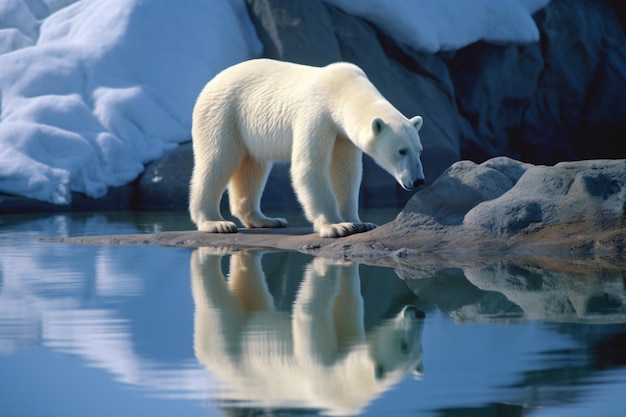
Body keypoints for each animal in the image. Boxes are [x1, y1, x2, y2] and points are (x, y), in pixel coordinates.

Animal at [190, 58, 424, 237]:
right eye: (402, 150)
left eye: (419, 150)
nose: (418, 181)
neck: (343, 89)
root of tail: (209, 83)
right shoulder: (317, 114)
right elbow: (310, 165)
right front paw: (338, 226)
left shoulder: (342, 134)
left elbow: (346, 172)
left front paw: (360, 222)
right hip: (224, 114)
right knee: (217, 161)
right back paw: (215, 223)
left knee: (253, 167)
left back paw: (267, 220)